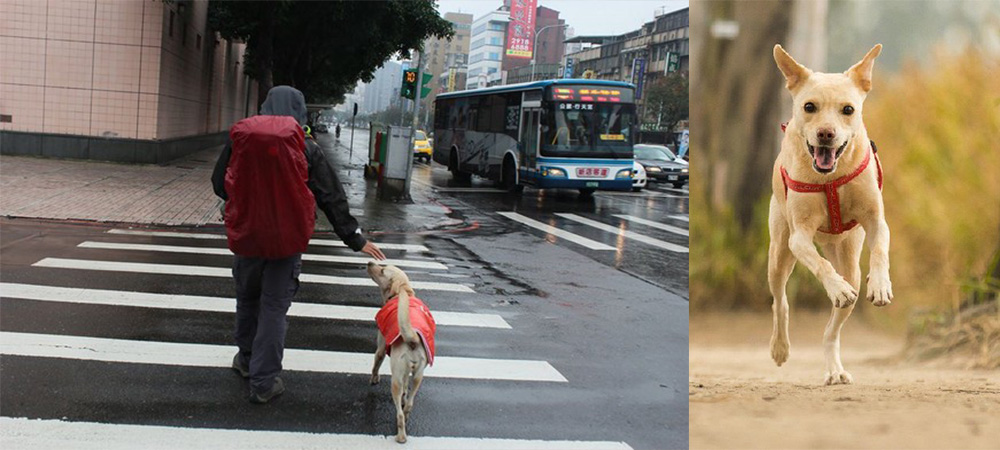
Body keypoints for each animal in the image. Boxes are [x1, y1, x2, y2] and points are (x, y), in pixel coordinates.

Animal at [364, 262, 434, 442]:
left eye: (382, 270)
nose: (369, 262)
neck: (403, 291)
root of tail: (413, 339)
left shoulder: (381, 347)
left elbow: (376, 364)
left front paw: (373, 379)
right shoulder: (407, 372)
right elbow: (405, 384)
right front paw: (404, 393)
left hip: (394, 379)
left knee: (400, 413)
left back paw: (401, 436)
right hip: (418, 376)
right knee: (408, 404)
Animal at [768, 44, 896, 384]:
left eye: (848, 109)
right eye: (809, 106)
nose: (826, 134)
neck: (830, 178)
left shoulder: (876, 220)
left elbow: (880, 249)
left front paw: (880, 285)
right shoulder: (799, 236)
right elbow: (820, 265)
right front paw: (835, 288)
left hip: (850, 261)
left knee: (832, 330)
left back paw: (835, 369)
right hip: (779, 253)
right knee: (780, 302)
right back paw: (780, 347)